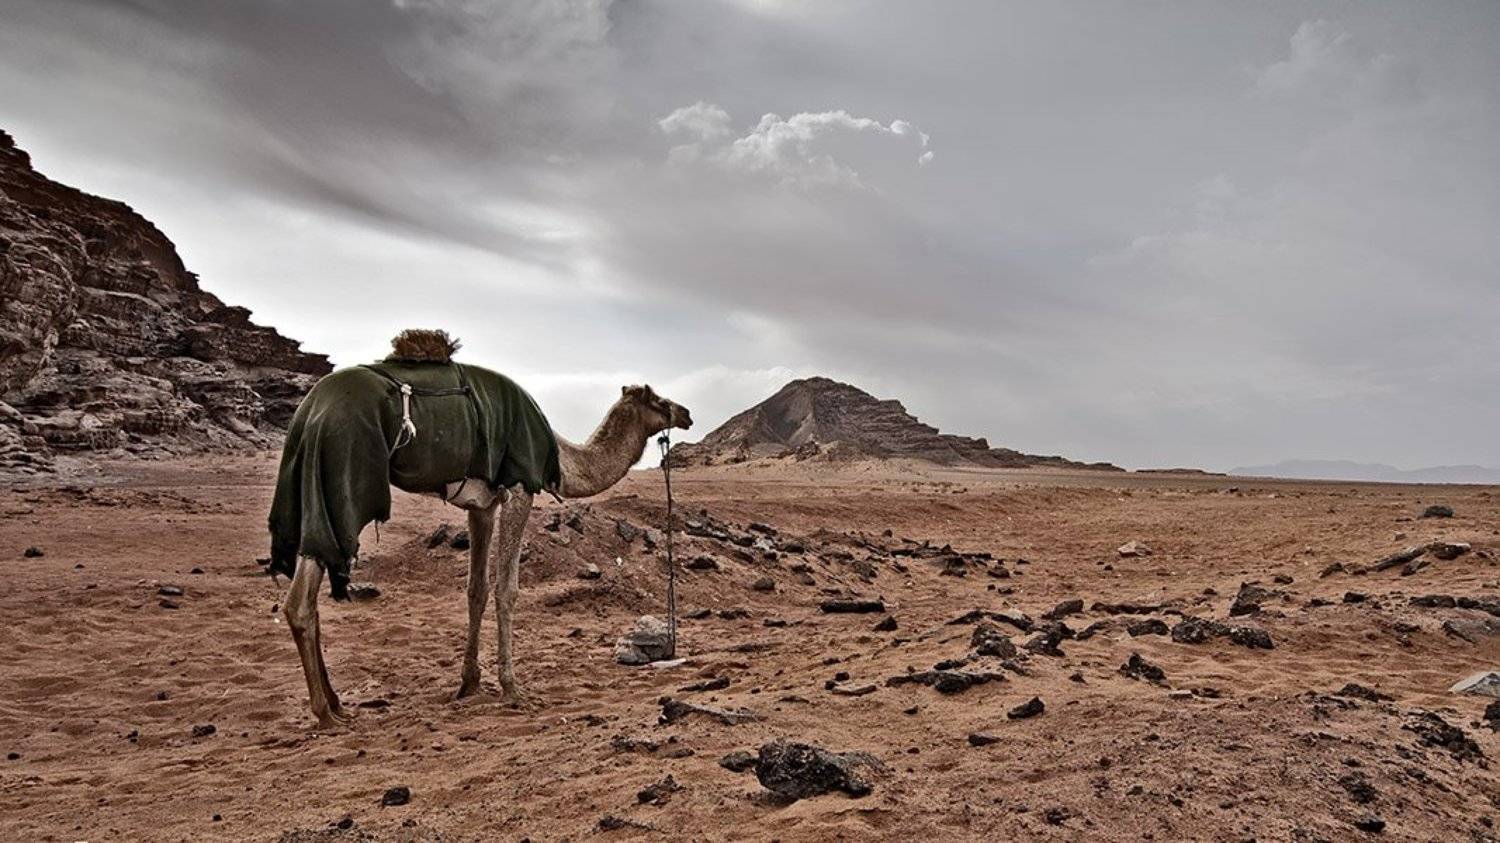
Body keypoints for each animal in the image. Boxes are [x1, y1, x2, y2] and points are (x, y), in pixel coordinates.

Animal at [268, 330, 692, 728]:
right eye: (658, 400)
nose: (687, 412)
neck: (564, 459)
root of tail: (309, 410)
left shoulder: (482, 505)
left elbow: (476, 590)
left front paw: (469, 683)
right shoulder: (520, 486)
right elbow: (507, 588)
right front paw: (512, 687)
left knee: (310, 593)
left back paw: (338, 703)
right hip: (342, 478)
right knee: (300, 601)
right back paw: (325, 712)